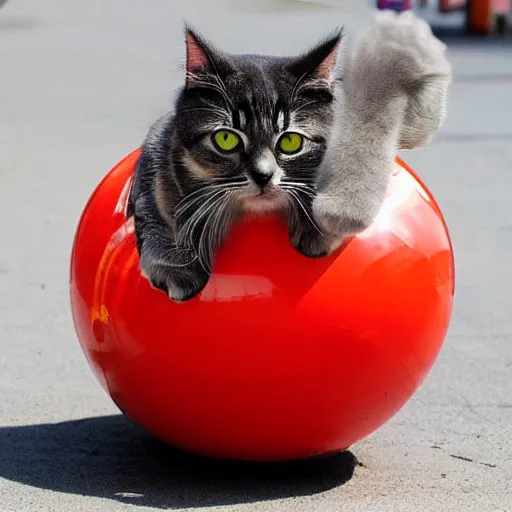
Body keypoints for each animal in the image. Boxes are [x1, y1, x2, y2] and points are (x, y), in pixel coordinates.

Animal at [128, 10, 452, 302]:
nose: (263, 175)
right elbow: (156, 206)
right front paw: (176, 264)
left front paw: (323, 224)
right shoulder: (158, 149)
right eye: (226, 139)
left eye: (291, 141)